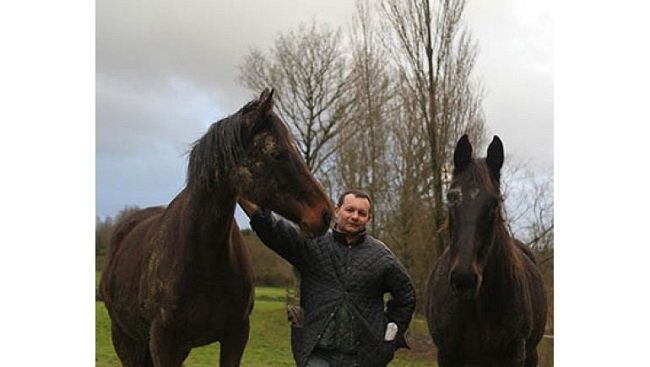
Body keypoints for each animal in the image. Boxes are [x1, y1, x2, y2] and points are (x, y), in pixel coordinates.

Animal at [102, 90, 334, 367]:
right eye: (277, 153)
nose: (325, 213)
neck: (203, 257)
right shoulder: (164, 343)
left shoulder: (236, 336)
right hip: (125, 338)